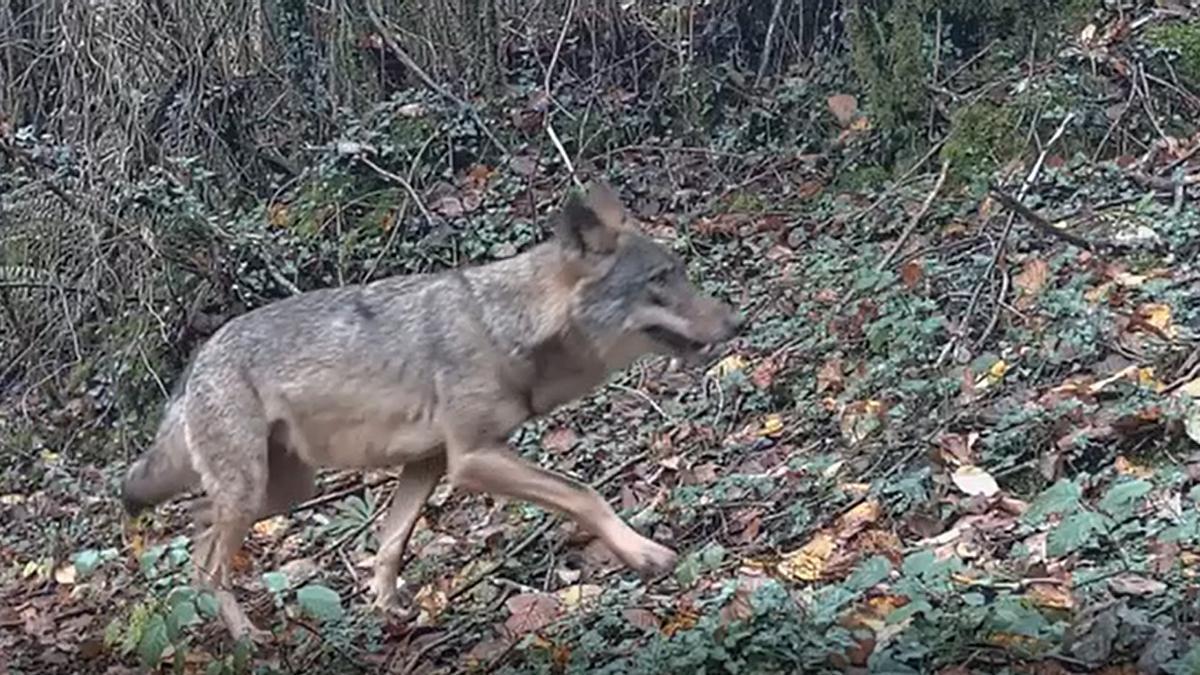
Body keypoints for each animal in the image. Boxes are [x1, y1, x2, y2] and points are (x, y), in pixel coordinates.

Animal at [120, 181, 741, 640]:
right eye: (661, 280)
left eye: (682, 270)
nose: (737, 321)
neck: (502, 327)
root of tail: (196, 362)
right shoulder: (472, 459)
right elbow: (584, 494)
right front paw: (646, 554)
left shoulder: (428, 464)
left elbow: (391, 545)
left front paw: (389, 613)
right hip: (257, 492)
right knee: (208, 558)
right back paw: (247, 638)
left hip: (282, 491)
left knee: (198, 527)